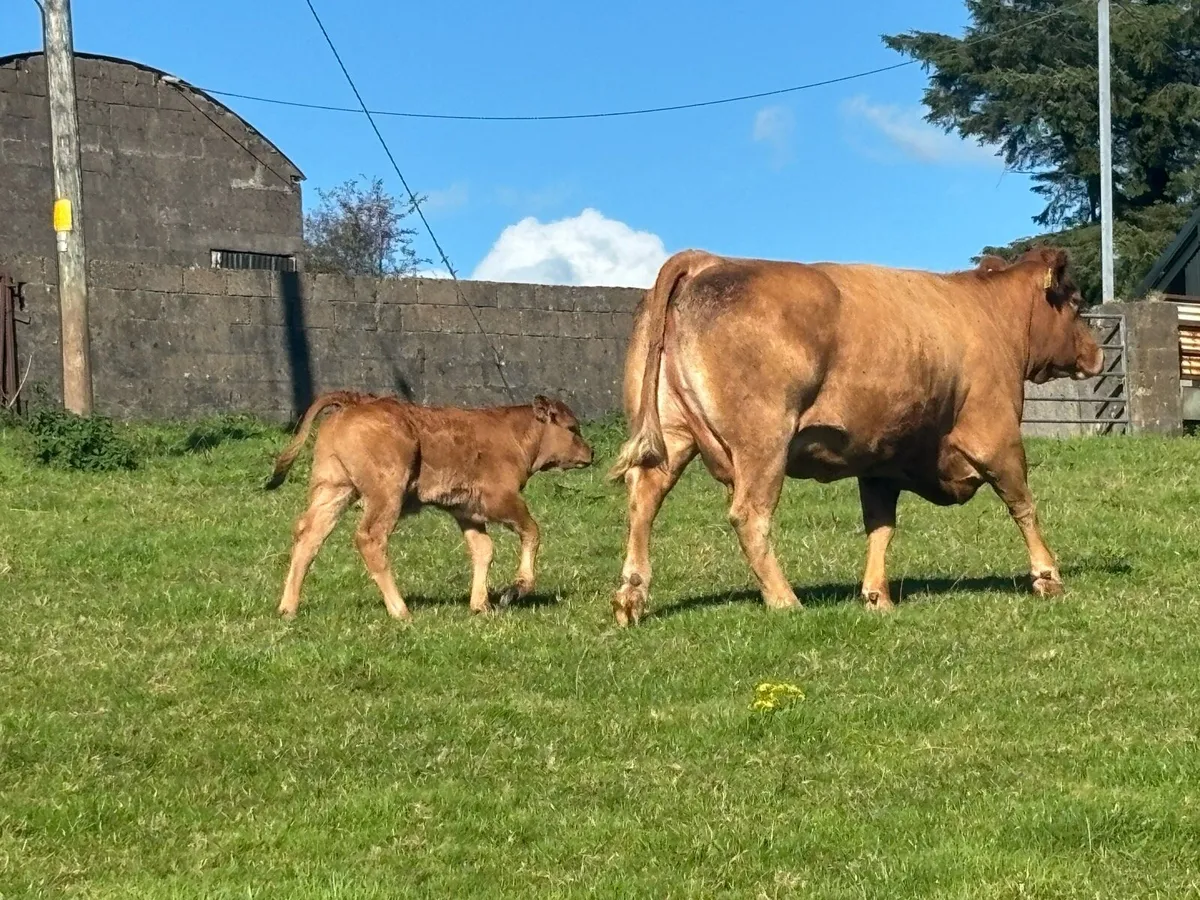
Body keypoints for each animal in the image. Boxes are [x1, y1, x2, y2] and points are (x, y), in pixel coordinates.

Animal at [265, 391, 594, 620]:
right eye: (572, 428)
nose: (591, 453)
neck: (514, 434)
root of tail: (355, 402)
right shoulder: (502, 500)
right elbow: (531, 531)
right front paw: (517, 589)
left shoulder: (467, 511)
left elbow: (483, 549)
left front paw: (480, 605)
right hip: (387, 495)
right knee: (370, 537)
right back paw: (401, 611)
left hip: (334, 488)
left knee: (309, 534)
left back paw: (288, 608)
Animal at [607, 246, 1105, 626]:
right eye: (1077, 302)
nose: (1098, 354)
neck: (991, 314)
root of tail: (706, 259)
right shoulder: (997, 436)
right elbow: (1023, 506)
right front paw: (1047, 576)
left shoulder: (880, 460)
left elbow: (881, 525)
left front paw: (876, 595)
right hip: (763, 442)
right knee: (749, 515)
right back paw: (784, 600)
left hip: (671, 434)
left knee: (642, 500)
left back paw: (631, 597)